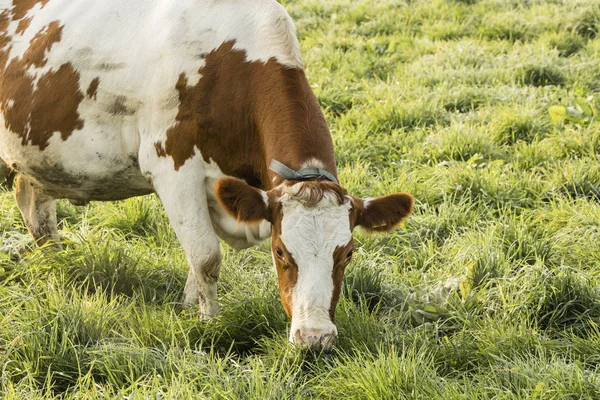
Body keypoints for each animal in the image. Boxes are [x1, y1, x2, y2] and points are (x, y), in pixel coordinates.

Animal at [0, 0, 412, 348]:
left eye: (348, 253)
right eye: (280, 251)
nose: (315, 338)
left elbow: (193, 260)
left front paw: (187, 309)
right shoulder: (172, 167)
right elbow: (205, 257)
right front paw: (210, 324)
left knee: (34, 205)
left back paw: (57, 264)